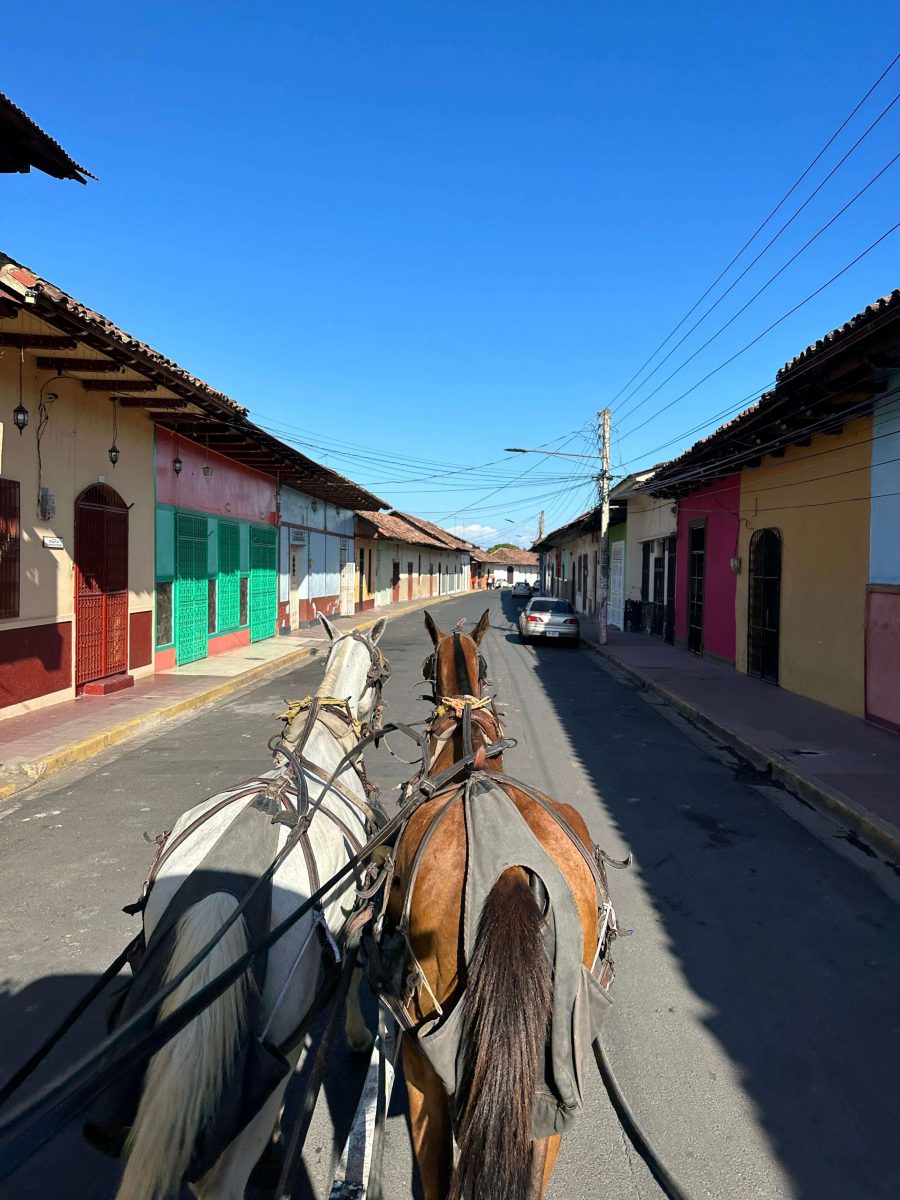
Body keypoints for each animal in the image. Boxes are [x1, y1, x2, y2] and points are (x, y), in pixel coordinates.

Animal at [113, 619, 388, 1200]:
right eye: (380, 674)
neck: (321, 750)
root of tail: (222, 890)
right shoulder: (357, 906)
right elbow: (355, 973)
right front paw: (358, 1036)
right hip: (267, 1068)